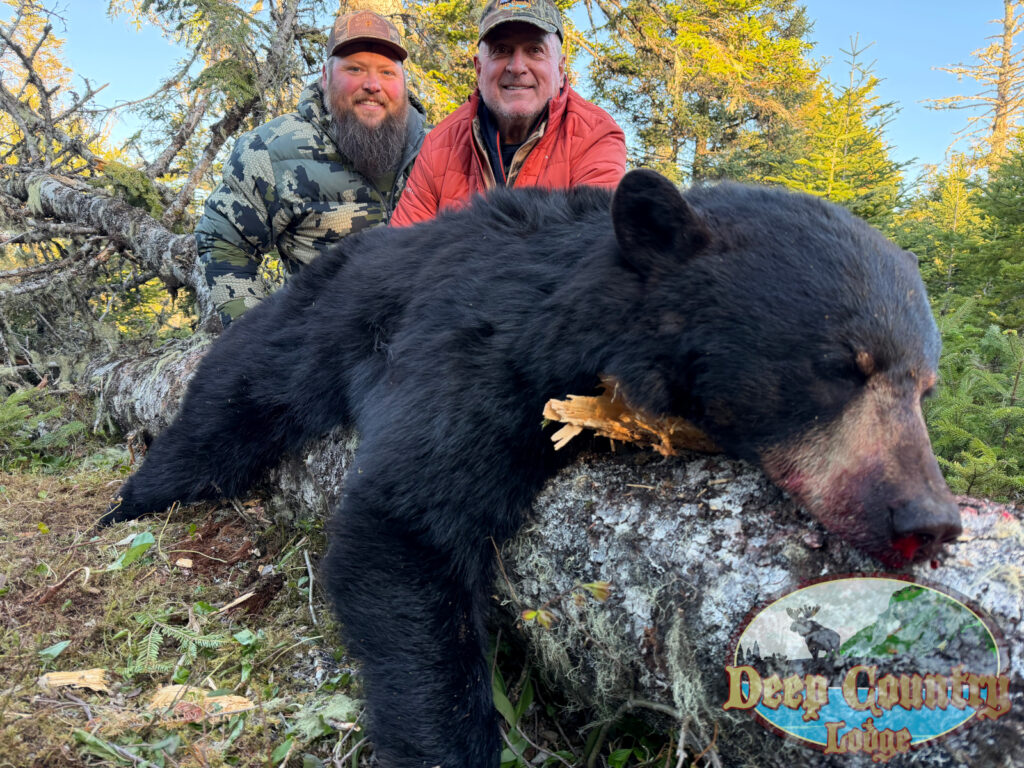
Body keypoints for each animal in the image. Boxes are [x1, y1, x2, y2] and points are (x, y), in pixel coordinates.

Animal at [101, 169, 961, 768]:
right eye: (840, 366)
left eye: (925, 386)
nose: (928, 519)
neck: (597, 326)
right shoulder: (487, 353)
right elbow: (406, 523)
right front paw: (449, 741)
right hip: (316, 325)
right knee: (234, 401)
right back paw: (132, 499)